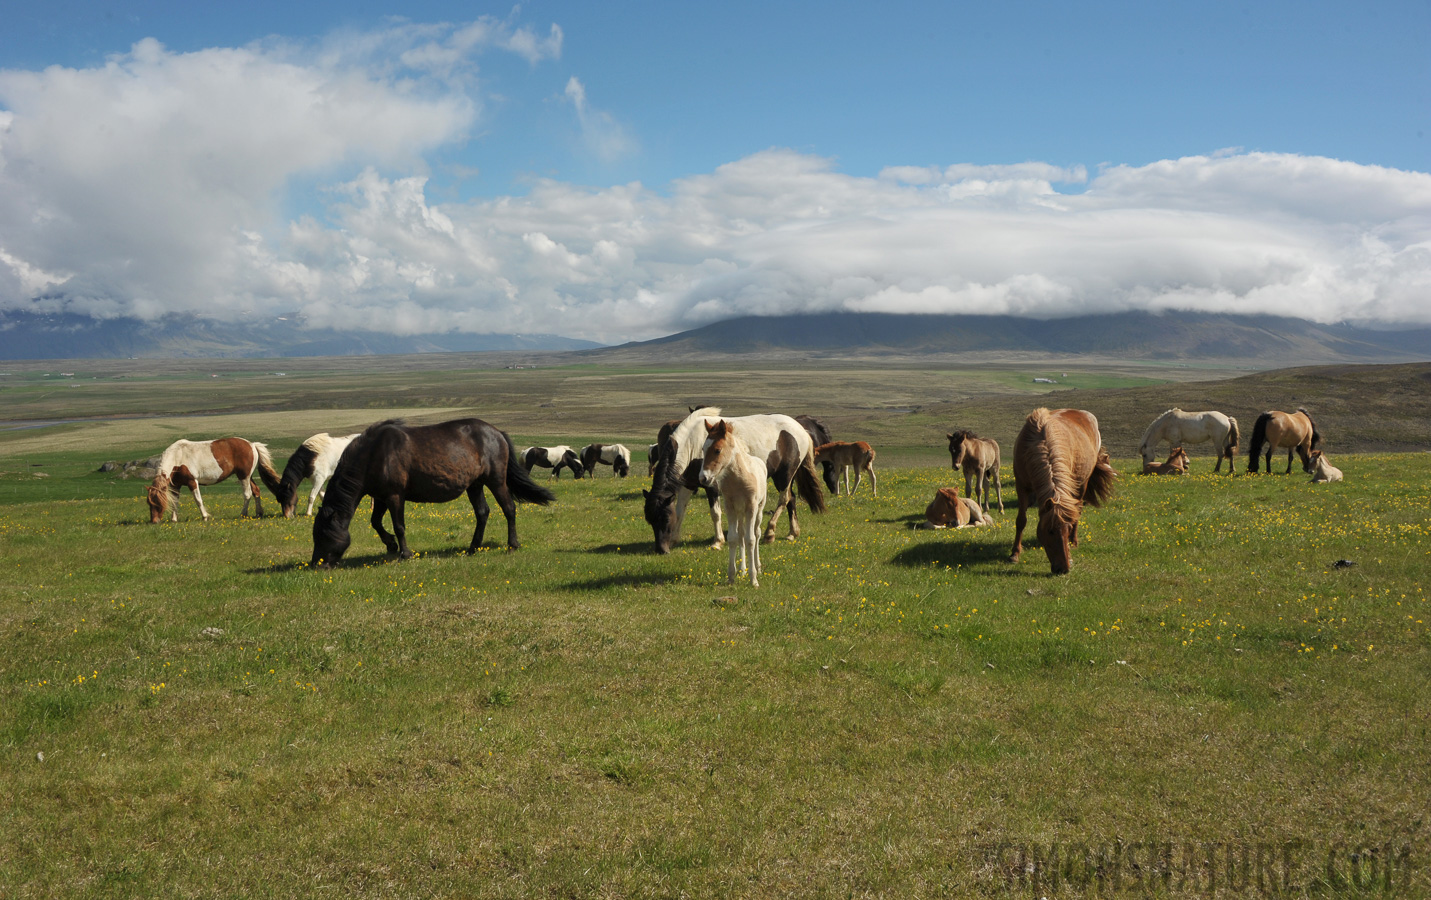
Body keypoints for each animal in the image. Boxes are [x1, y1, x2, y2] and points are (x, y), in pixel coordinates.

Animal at [145, 432, 281, 520]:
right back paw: (258, 513)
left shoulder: (192, 481)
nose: (154, 521)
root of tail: (252, 445)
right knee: (255, 491)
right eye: (149, 503)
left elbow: (198, 500)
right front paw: (174, 519)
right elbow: (175, 501)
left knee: (247, 494)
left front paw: (205, 517)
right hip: (248, 476)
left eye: (158, 503)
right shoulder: (176, 485)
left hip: (244, 476)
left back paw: (243, 514)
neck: (177, 456)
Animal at [311, 417, 552, 563]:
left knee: (509, 509)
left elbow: (399, 526)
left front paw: (405, 553)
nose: (316, 564)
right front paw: (390, 545)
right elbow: (376, 522)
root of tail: (497, 432)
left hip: (496, 480)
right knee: (482, 513)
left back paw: (512, 545)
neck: (374, 454)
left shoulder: (394, 496)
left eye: (322, 535)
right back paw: (473, 548)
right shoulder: (380, 497)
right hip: (474, 485)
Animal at [698, 417, 767, 586]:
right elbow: (733, 538)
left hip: (759, 510)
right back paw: (743, 570)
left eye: (717, 450)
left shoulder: (751, 507)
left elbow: (751, 539)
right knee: (741, 535)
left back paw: (757, 567)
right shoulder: (730, 507)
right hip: (740, 513)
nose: (703, 478)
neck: (738, 479)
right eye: (703, 449)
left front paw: (754, 580)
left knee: (757, 533)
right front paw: (732, 577)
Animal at [1007, 409, 1116, 575]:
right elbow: (1021, 521)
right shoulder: (1021, 486)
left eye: (1067, 529)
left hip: (1081, 485)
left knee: (1078, 510)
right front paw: (1015, 554)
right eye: (1050, 531)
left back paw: (1074, 541)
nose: (1064, 569)